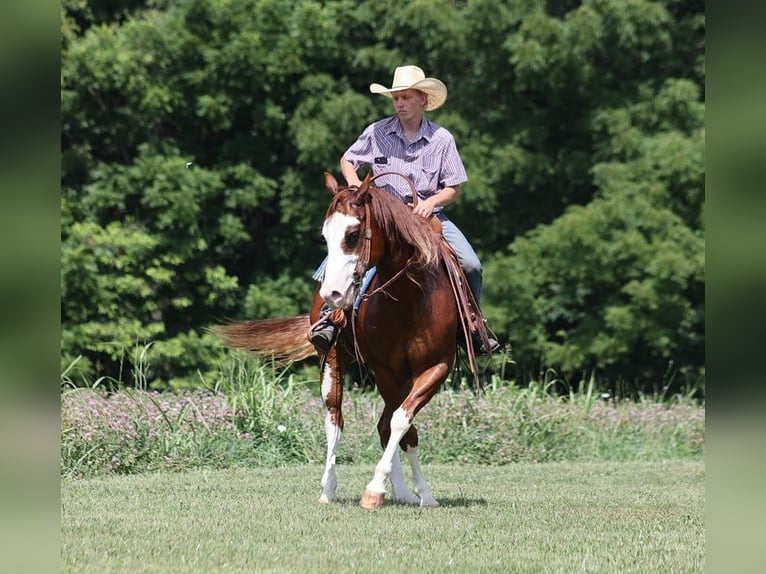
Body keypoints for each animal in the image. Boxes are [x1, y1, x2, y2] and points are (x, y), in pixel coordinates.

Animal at [216, 172, 488, 509]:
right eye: (325, 236)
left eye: (354, 233)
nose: (332, 294)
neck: (410, 298)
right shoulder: (386, 370)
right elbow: (399, 425)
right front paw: (376, 489)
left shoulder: (434, 368)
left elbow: (400, 422)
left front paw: (417, 493)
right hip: (332, 359)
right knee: (334, 419)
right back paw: (329, 488)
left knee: (384, 423)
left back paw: (401, 491)